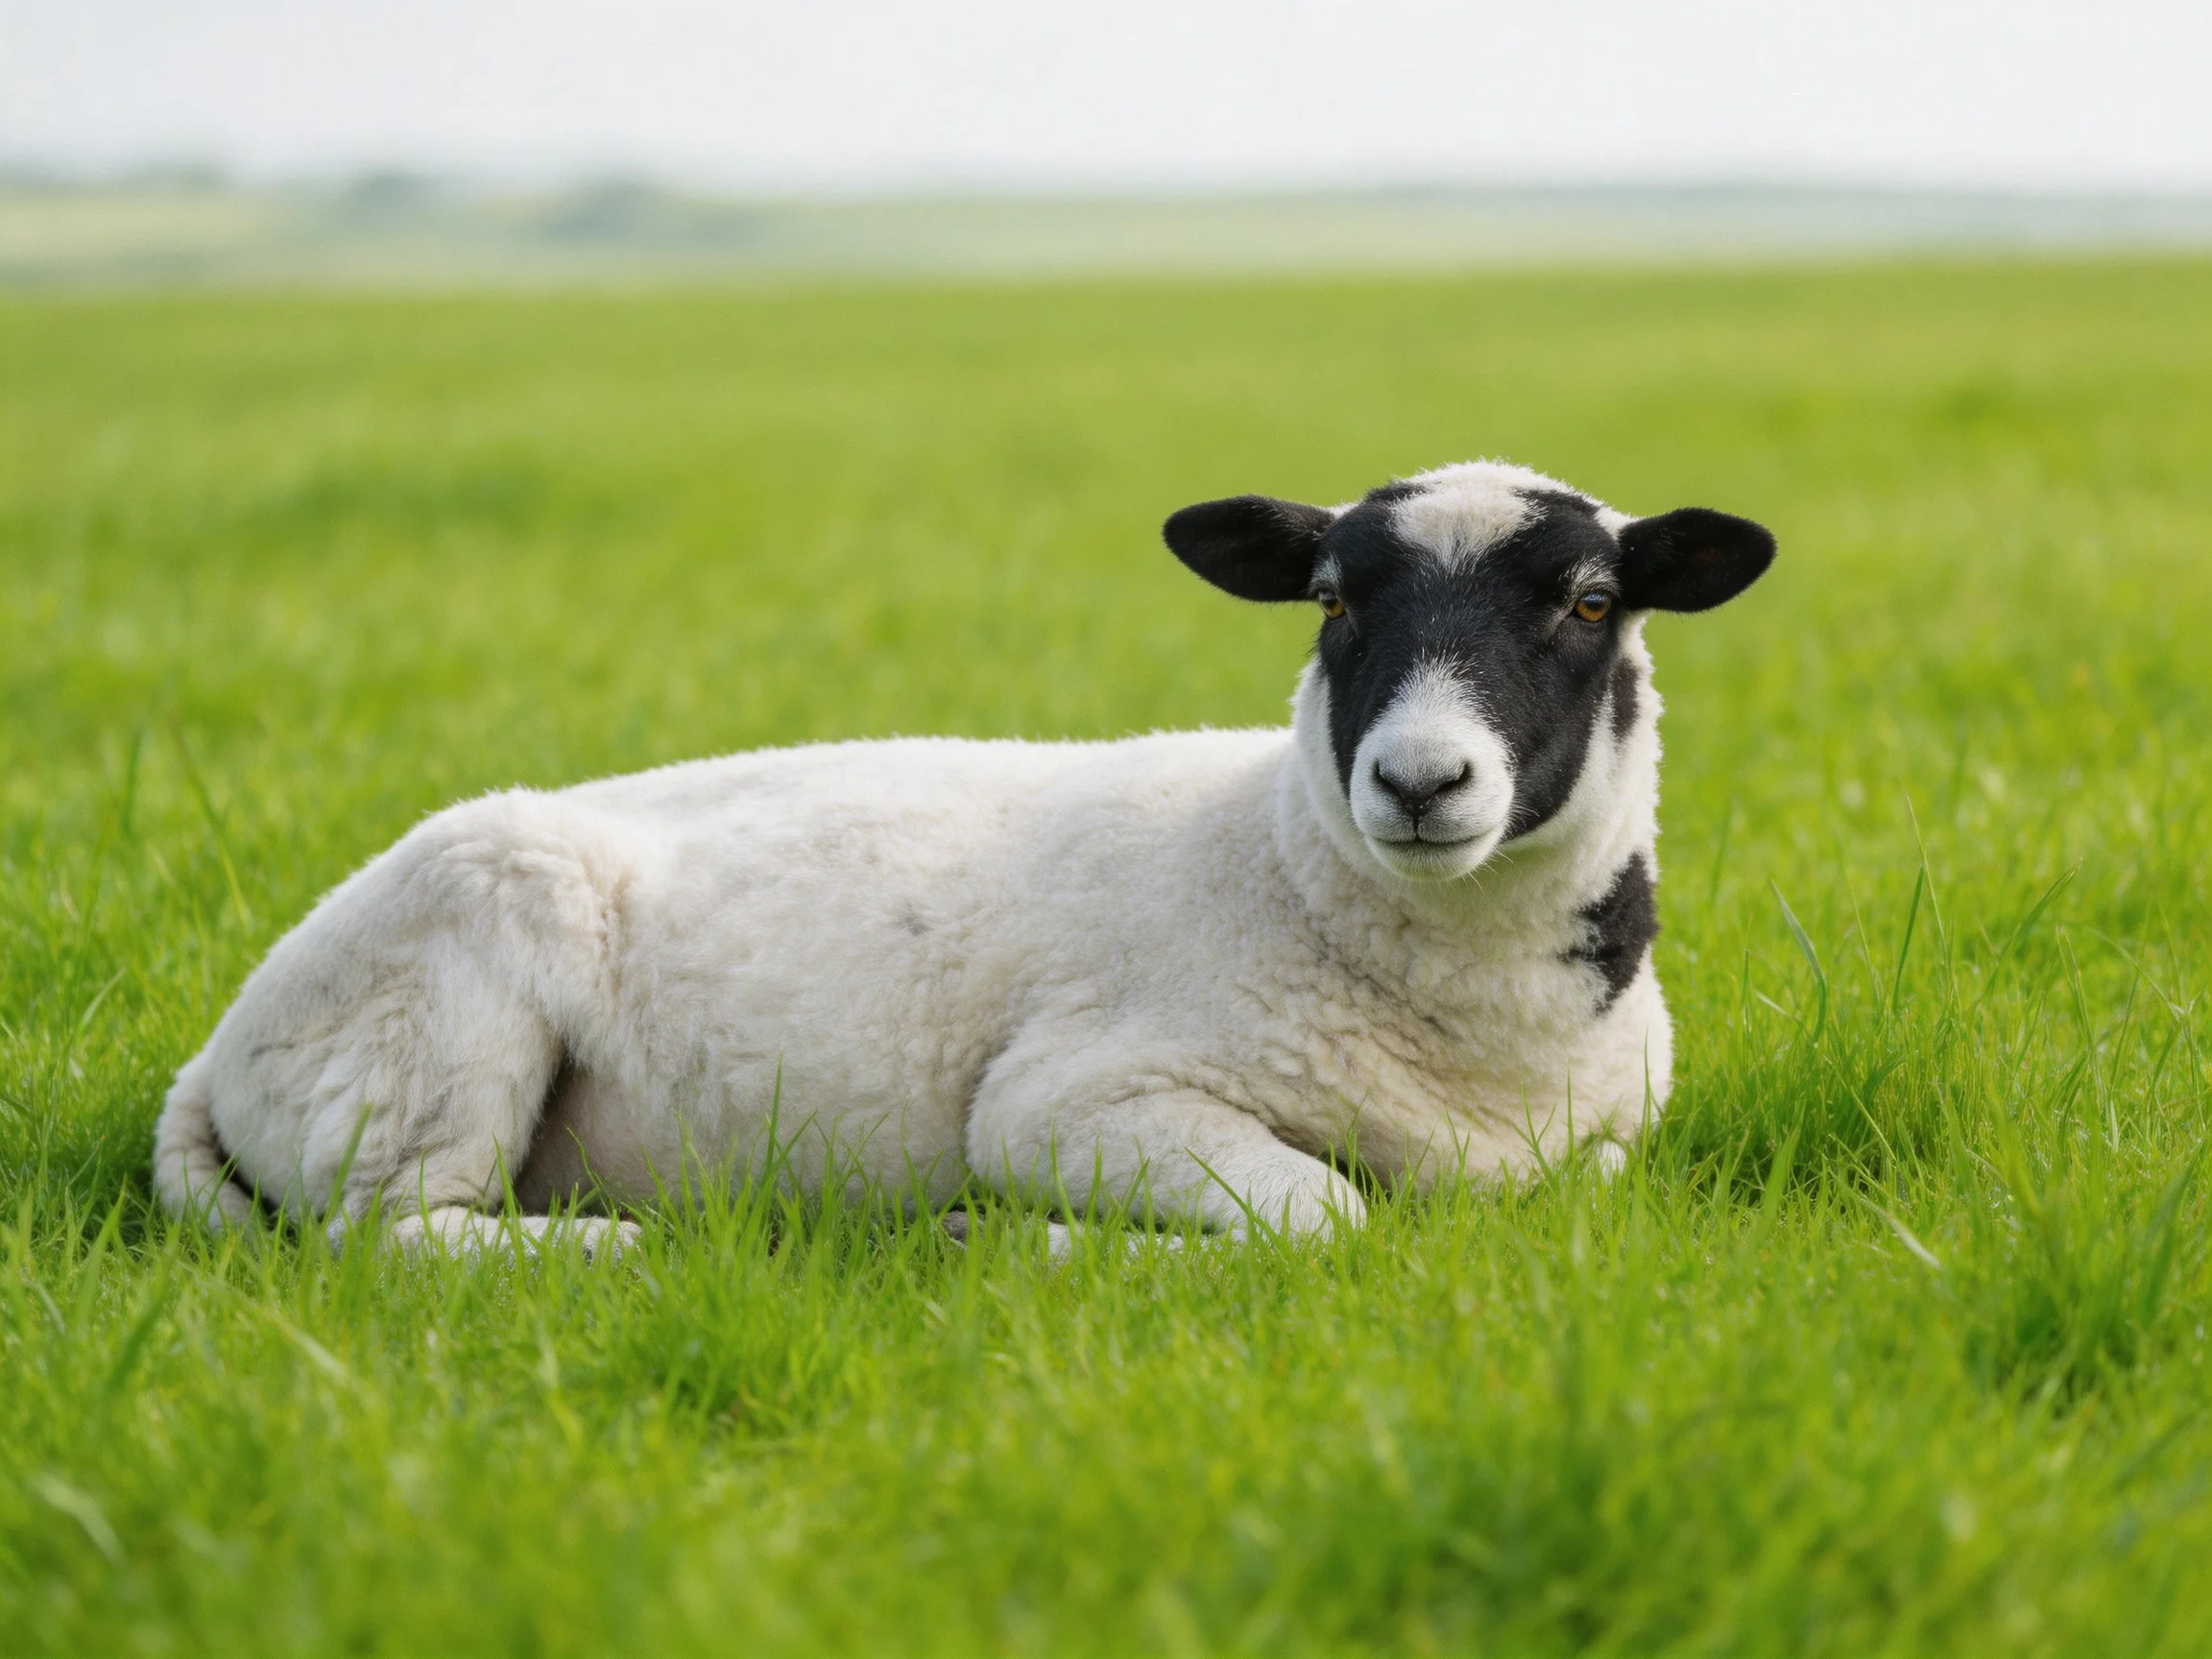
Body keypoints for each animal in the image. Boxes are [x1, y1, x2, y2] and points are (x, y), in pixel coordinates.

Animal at [153, 460, 1775, 1252]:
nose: (1421, 780)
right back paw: (622, 1250)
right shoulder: (1076, 1096)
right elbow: (1325, 1220)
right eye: (1328, 598)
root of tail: (221, 1051)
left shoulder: (1600, 1156)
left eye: (1588, 602)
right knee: (393, 1240)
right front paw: (1002, 1241)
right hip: (437, 1028)